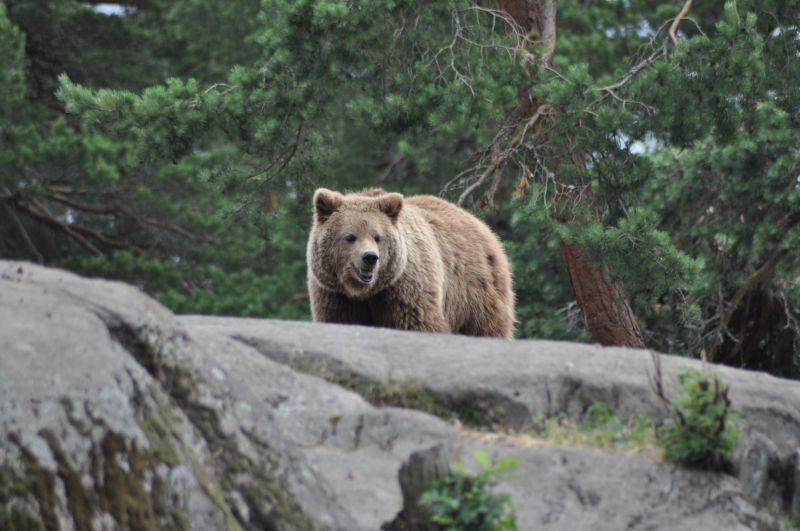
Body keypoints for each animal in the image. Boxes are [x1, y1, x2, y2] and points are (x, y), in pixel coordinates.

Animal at [306, 187, 520, 338]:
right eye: (350, 236)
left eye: (377, 237)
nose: (370, 258)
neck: (366, 292)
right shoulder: (336, 295)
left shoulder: (405, 288)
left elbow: (418, 323)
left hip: (476, 292)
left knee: (486, 327)